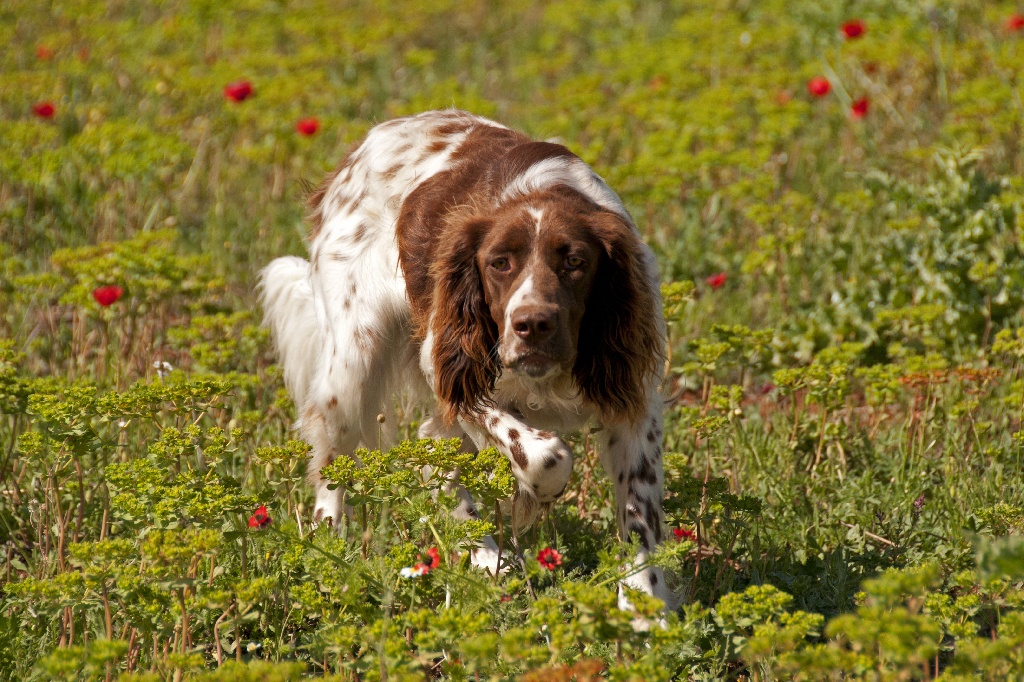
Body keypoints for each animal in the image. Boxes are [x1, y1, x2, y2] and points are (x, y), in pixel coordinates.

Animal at [260, 109, 667, 602]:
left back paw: (486, 558)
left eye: (575, 262)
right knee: (332, 459)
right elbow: (547, 455)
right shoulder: (451, 366)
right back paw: (330, 547)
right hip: (353, 363)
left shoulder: (633, 397)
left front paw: (646, 603)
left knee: (432, 443)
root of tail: (356, 151)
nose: (532, 325)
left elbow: (640, 515)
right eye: (499, 263)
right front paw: (531, 499)